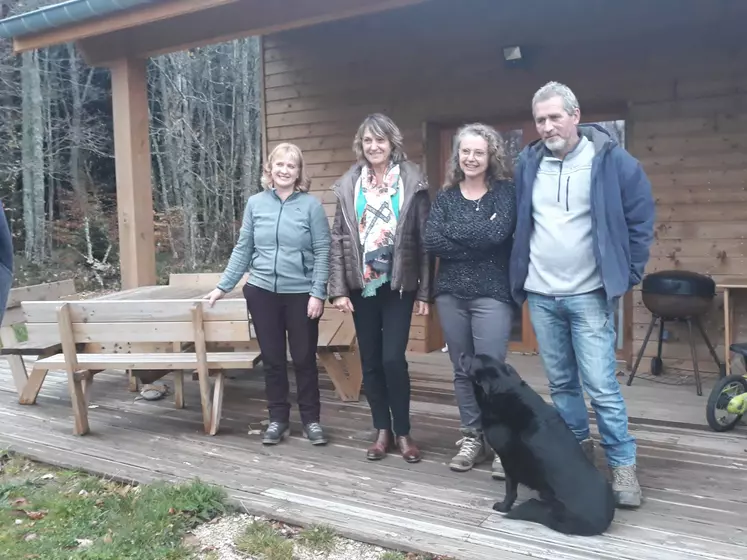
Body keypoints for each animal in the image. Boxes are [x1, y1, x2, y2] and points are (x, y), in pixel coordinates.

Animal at [468, 352, 612, 536]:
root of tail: (602, 522)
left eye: (472, 360)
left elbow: (510, 489)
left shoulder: (509, 461)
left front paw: (503, 506)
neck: (505, 389)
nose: (463, 354)